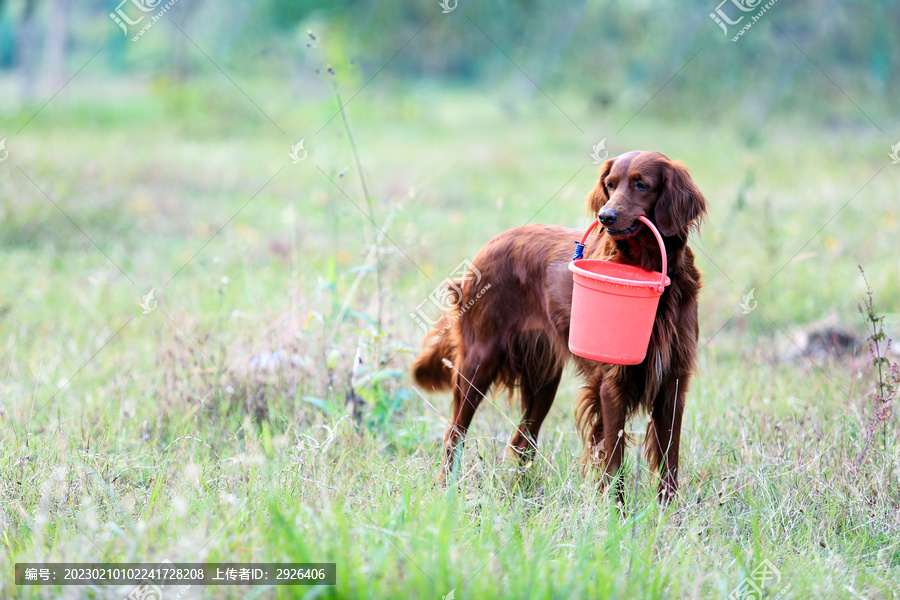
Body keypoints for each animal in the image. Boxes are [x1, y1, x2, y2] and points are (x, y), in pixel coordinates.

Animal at [412, 151, 708, 502]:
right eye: (610, 185)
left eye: (641, 184)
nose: (606, 217)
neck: (646, 269)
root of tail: (483, 251)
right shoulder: (611, 385)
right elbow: (613, 460)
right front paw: (616, 511)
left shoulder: (673, 381)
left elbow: (669, 460)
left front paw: (667, 512)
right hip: (478, 364)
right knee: (455, 433)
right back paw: (447, 489)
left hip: (543, 381)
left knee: (521, 443)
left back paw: (520, 495)